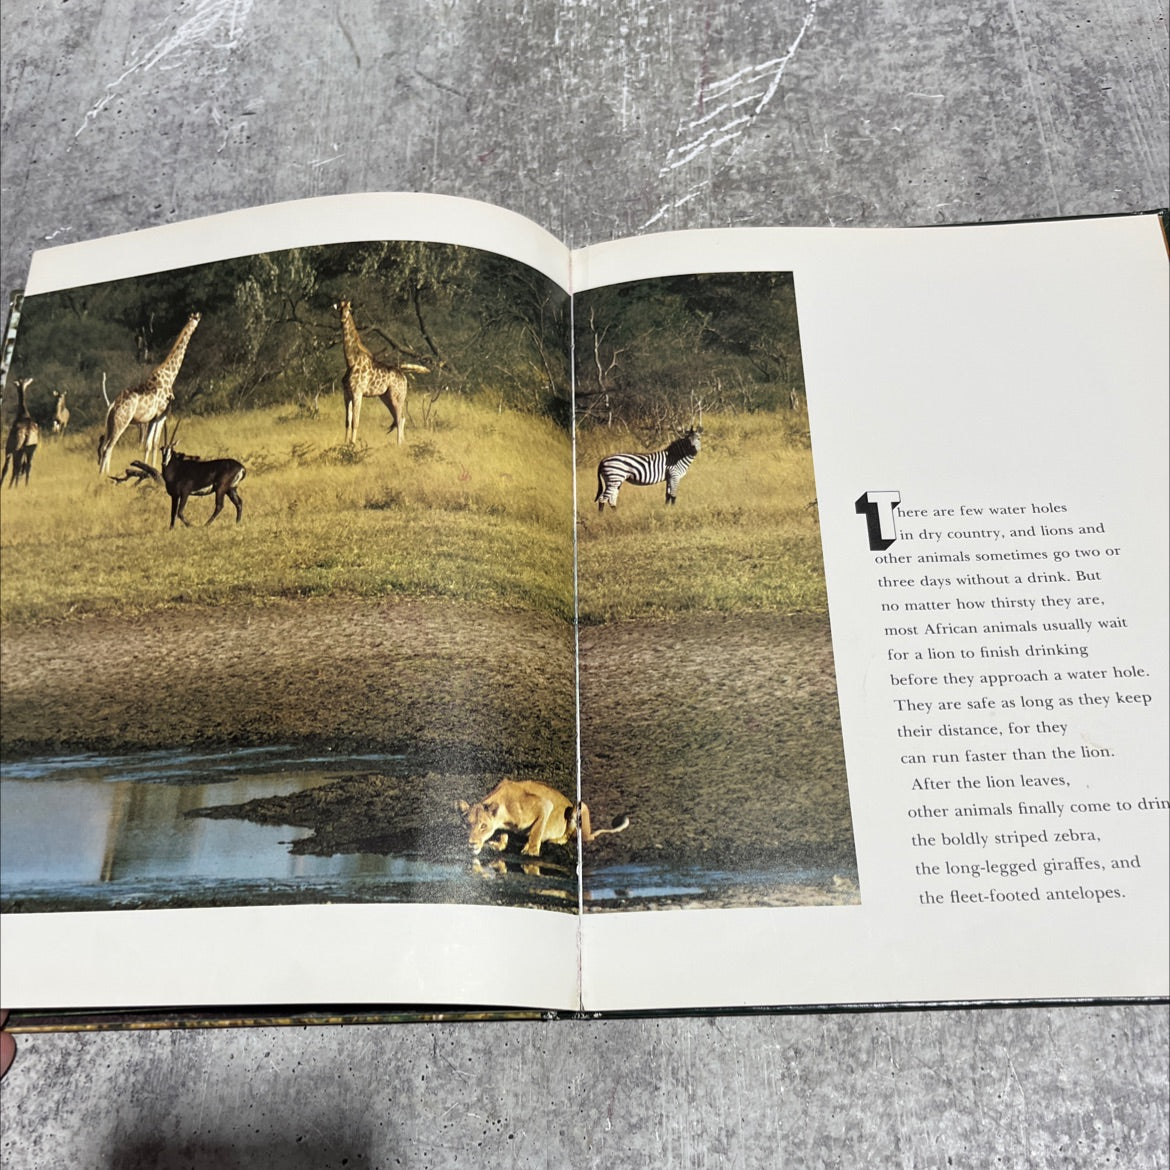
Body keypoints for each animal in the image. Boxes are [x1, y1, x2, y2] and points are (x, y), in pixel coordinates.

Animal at [457, 779, 630, 858]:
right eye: (466, 825)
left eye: (483, 826)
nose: (471, 843)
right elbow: (504, 835)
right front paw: (499, 845)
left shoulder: (544, 804)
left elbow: (536, 831)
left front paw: (531, 851)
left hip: (579, 806)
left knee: (569, 836)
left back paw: (556, 840)